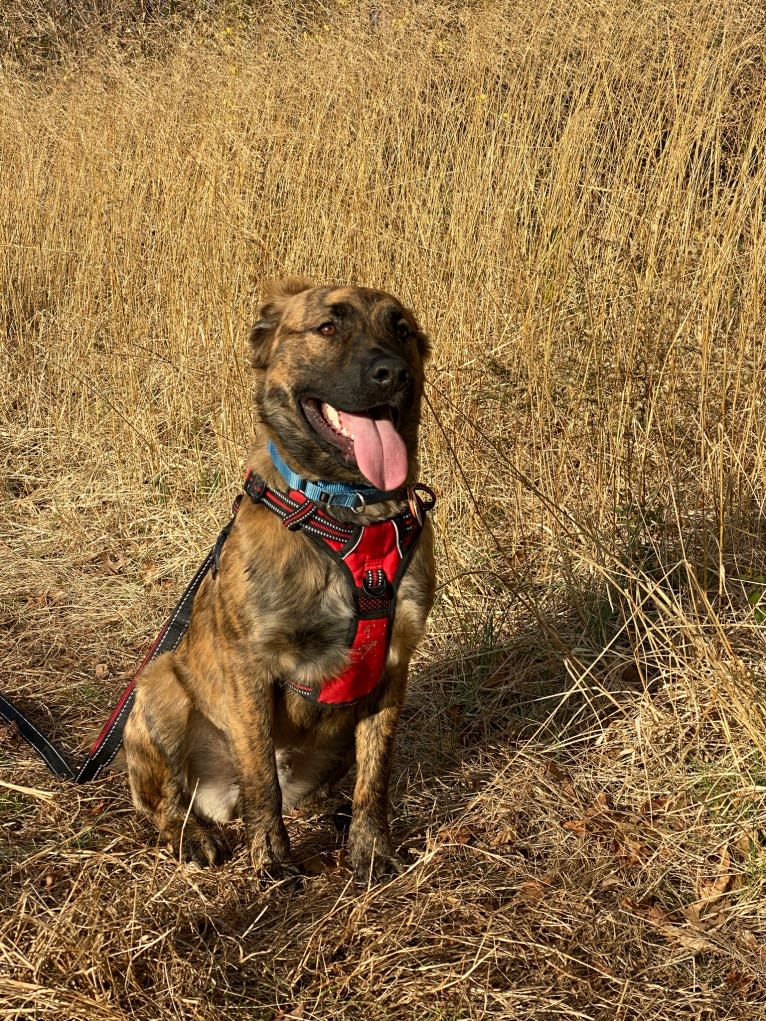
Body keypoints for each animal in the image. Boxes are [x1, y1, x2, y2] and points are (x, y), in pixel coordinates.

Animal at [126, 277, 437, 878]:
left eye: (403, 331)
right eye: (327, 327)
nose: (392, 373)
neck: (348, 511)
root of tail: (219, 802)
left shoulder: (394, 664)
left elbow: (376, 775)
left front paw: (370, 849)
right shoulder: (251, 664)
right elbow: (260, 778)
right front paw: (271, 859)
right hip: (158, 687)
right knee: (166, 804)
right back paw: (194, 835)